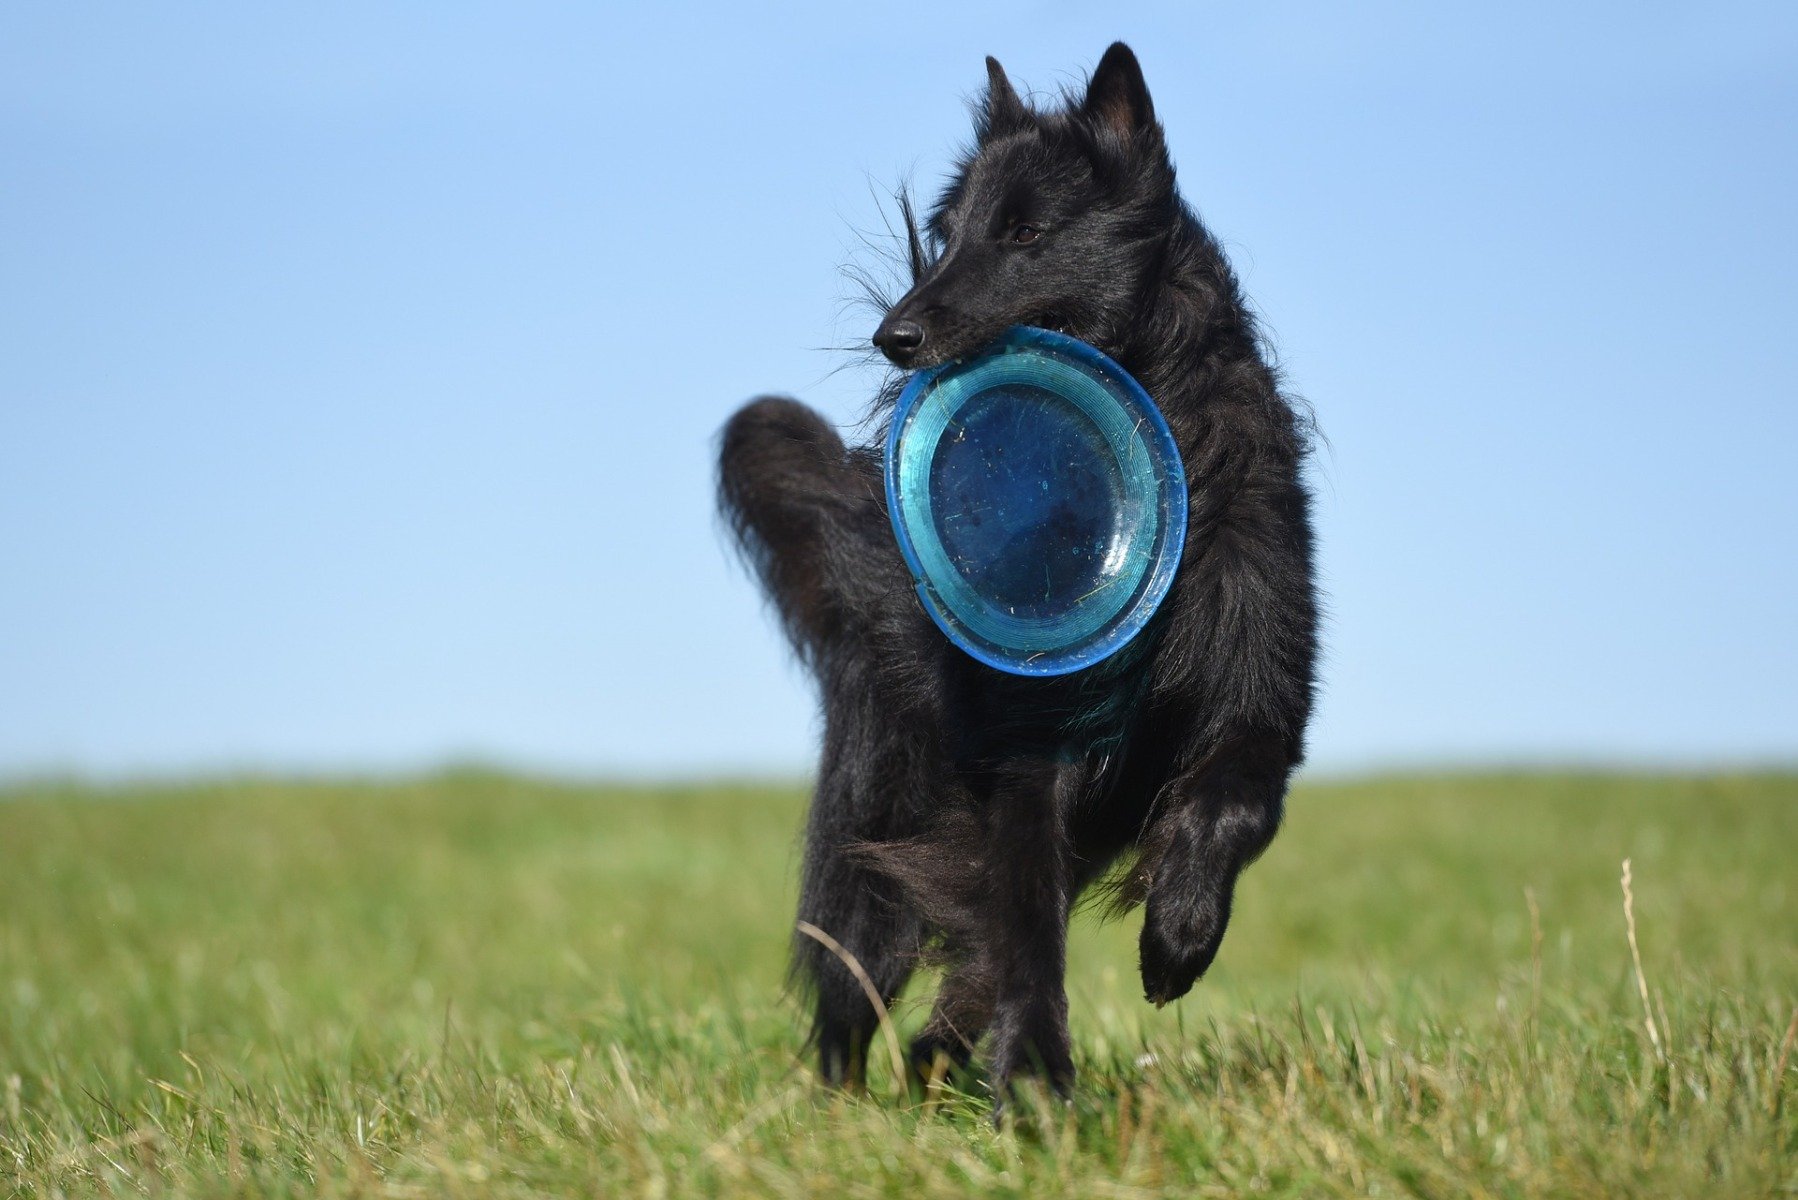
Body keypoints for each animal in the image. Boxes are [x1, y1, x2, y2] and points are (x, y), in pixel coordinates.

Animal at [715, 44, 1323, 1101]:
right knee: (855, 992)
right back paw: (845, 1109)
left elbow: (1233, 805)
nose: (894, 338)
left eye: (1026, 232)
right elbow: (1029, 919)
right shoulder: (1030, 760)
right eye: (946, 236)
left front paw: (1180, 935)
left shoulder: (1261, 699)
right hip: (877, 838)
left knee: (949, 988)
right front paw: (1038, 1074)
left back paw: (939, 1069)